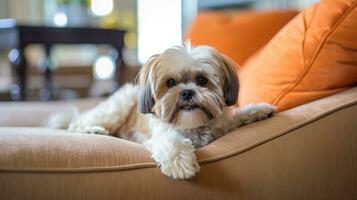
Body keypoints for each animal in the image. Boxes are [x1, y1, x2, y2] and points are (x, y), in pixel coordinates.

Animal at [46, 45, 276, 180]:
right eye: (171, 83)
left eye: (202, 80)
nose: (187, 92)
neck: (192, 125)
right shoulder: (161, 136)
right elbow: (172, 144)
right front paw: (181, 164)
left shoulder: (221, 125)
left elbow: (234, 118)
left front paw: (257, 110)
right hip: (118, 107)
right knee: (78, 123)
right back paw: (93, 130)